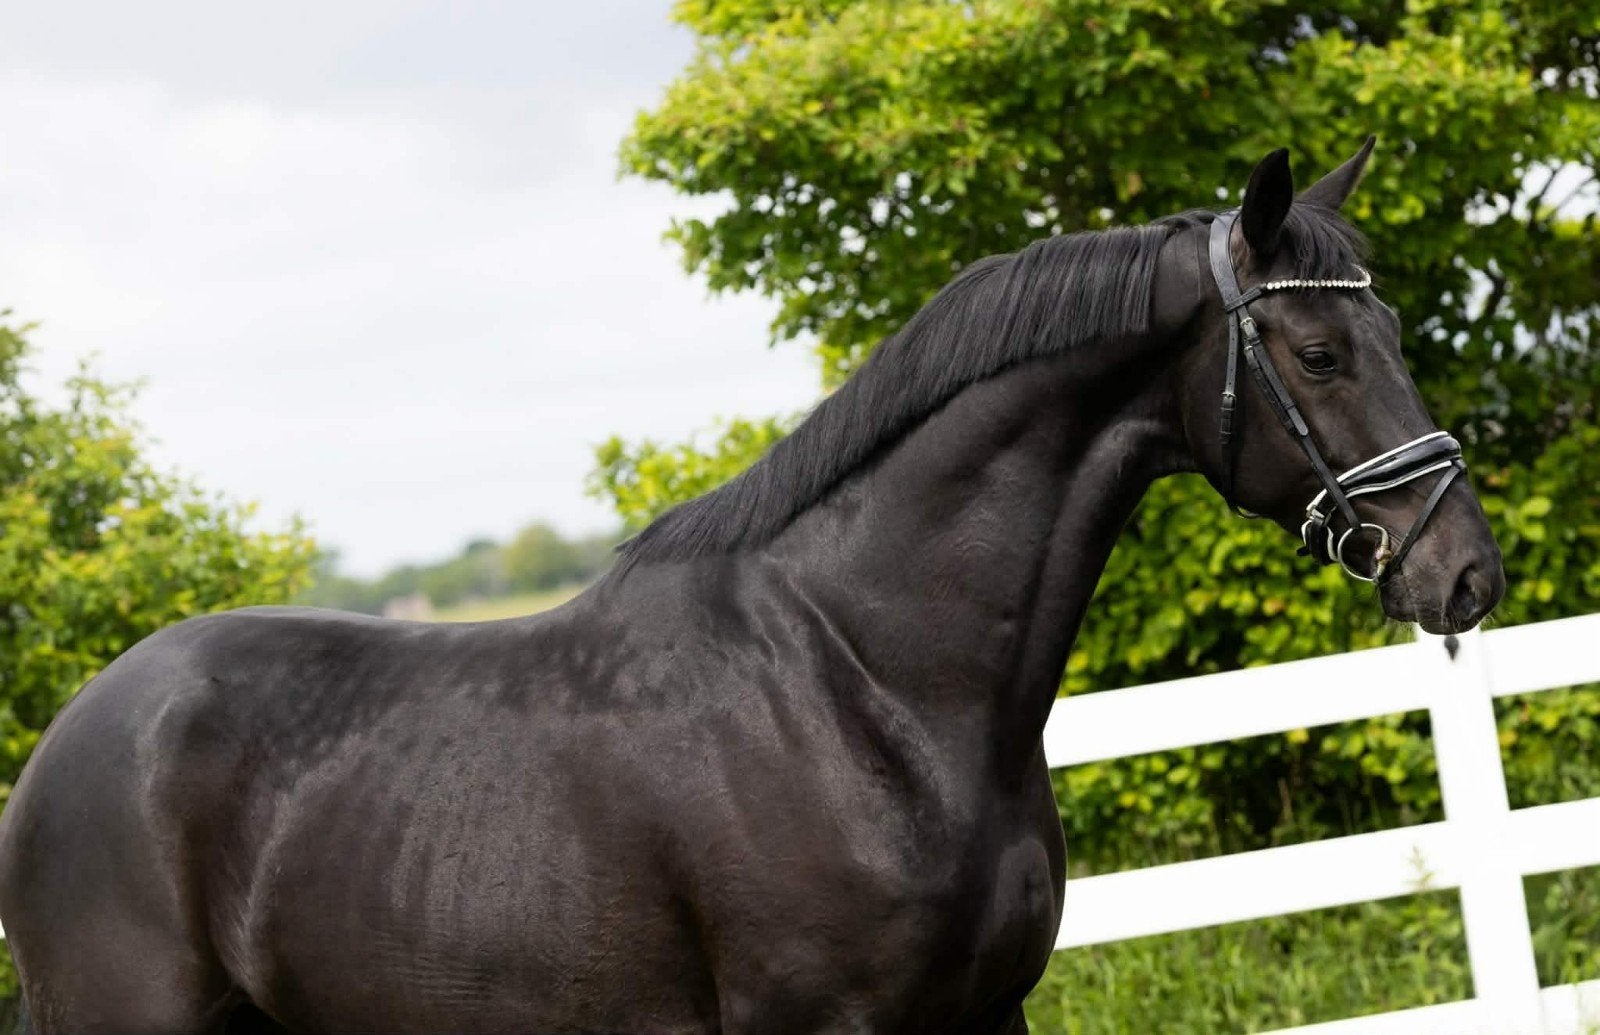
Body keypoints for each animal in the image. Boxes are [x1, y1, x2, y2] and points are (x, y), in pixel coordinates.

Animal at [0, 140, 1503, 1034]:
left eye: (1388, 327)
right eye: (1317, 350)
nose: (1464, 569)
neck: (866, 683)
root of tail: (60, 753)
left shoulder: (985, 1012)